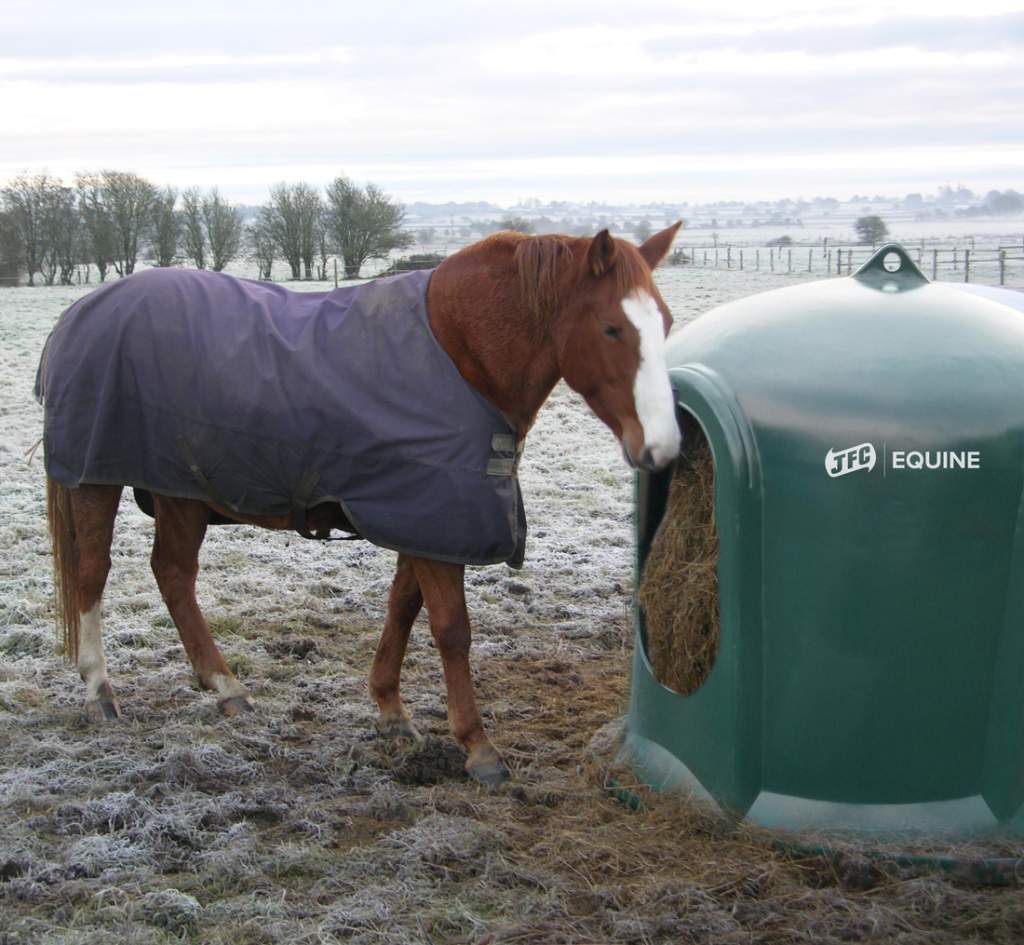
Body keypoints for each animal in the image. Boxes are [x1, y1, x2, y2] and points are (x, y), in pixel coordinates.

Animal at [44, 223, 679, 782]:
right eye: (611, 329)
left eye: (666, 323)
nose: (665, 447)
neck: (461, 351)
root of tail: (80, 314)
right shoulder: (434, 520)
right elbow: (451, 629)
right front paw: (477, 746)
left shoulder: (421, 518)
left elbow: (403, 607)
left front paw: (391, 711)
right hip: (95, 479)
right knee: (93, 573)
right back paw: (100, 689)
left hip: (183, 492)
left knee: (173, 575)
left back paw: (225, 687)